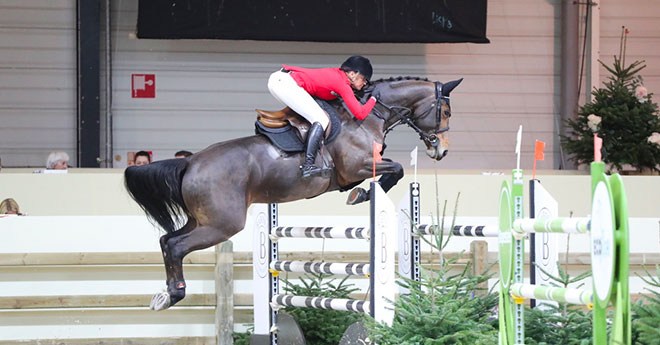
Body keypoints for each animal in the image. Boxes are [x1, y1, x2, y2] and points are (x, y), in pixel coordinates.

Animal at [125, 76, 464, 310]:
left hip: (203, 220)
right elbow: (396, 169)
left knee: (166, 240)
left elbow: (395, 169)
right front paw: (363, 195)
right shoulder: (356, 167)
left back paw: (166, 293)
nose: (442, 151)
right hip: (222, 224)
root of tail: (190, 162)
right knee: (176, 246)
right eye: (446, 111)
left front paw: (363, 194)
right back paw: (173, 294)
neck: (368, 117)